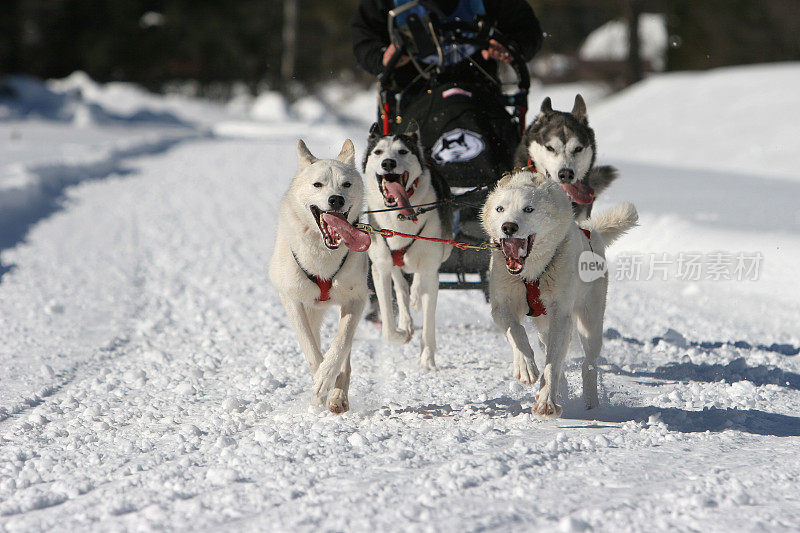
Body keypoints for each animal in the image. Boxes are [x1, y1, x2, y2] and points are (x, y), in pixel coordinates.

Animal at [266, 137, 372, 412]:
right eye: (318, 184)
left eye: (346, 184)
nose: (336, 199)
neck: (323, 258)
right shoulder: (292, 300)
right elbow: (311, 349)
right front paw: (320, 382)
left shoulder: (356, 299)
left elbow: (341, 343)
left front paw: (328, 378)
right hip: (309, 308)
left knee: (344, 350)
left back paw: (338, 396)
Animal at [364, 122, 454, 368]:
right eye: (378, 152)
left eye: (403, 151)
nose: (388, 163)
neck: (400, 216)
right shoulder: (380, 268)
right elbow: (388, 325)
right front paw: (402, 333)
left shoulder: (432, 267)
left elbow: (429, 320)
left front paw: (427, 358)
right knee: (400, 284)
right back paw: (406, 318)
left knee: (417, 281)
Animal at [482, 171, 636, 416]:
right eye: (500, 209)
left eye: (528, 209)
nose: (508, 227)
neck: (532, 273)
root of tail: (592, 232)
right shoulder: (501, 306)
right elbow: (516, 331)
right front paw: (526, 366)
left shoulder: (561, 315)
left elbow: (553, 364)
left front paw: (547, 402)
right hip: (545, 328)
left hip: (589, 322)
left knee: (588, 364)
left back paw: (591, 403)